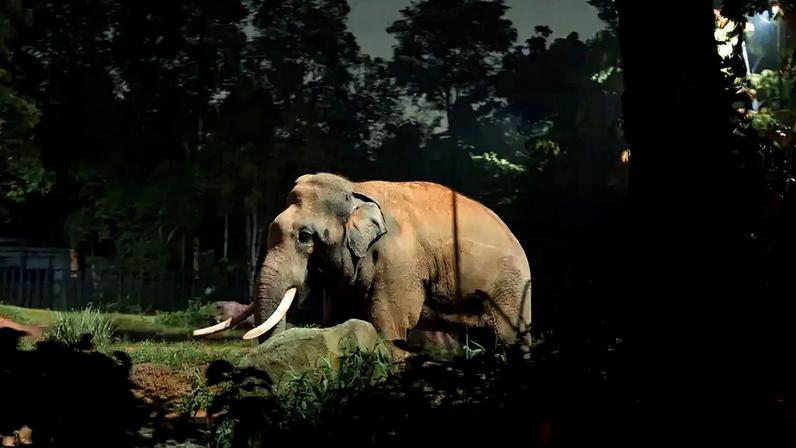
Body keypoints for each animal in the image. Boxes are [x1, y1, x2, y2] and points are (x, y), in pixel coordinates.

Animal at [193, 173, 532, 360]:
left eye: (305, 237)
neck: (355, 190)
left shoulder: (399, 263)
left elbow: (390, 323)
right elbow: (340, 316)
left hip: (511, 288)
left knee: (510, 339)